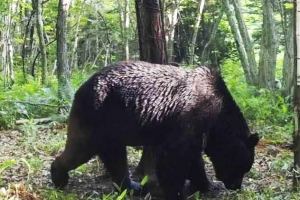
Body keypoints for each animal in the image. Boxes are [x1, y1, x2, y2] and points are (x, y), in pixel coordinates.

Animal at [51, 61, 258, 200]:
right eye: (243, 166)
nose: (235, 186)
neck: (217, 117)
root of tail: (82, 86)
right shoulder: (191, 116)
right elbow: (175, 157)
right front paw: (176, 191)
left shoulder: (196, 130)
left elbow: (193, 158)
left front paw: (206, 184)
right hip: (97, 114)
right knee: (81, 148)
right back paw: (59, 177)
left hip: (112, 127)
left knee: (115, 158)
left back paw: (132, 186)